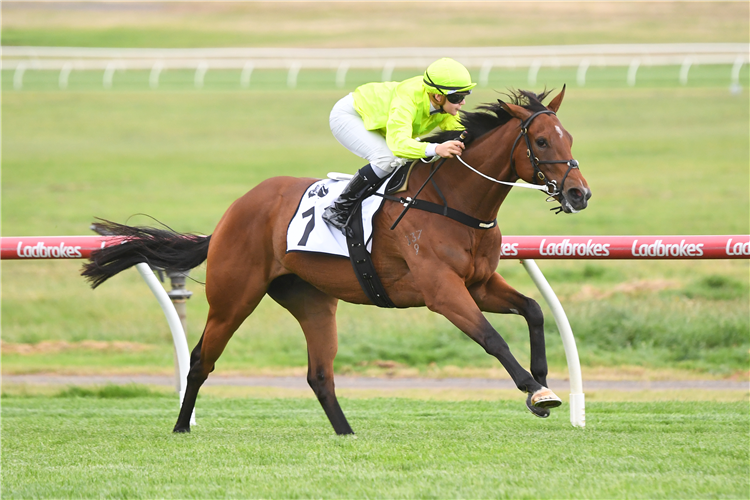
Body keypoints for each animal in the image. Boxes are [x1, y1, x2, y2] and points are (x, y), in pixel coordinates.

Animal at [82, 86, 592, 434]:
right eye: (542, 142)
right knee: (201, 358)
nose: (579, 194)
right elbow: (492, 339)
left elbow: (534, 309)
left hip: (311, 300)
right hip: (234, 297)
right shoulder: (442, 292)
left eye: (569, 137)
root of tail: (232, 213)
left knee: (319, 374)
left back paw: (347, 434)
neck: (454, 204)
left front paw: (542, 381)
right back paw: (181, 426)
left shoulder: (479, 284)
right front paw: (536, 392)